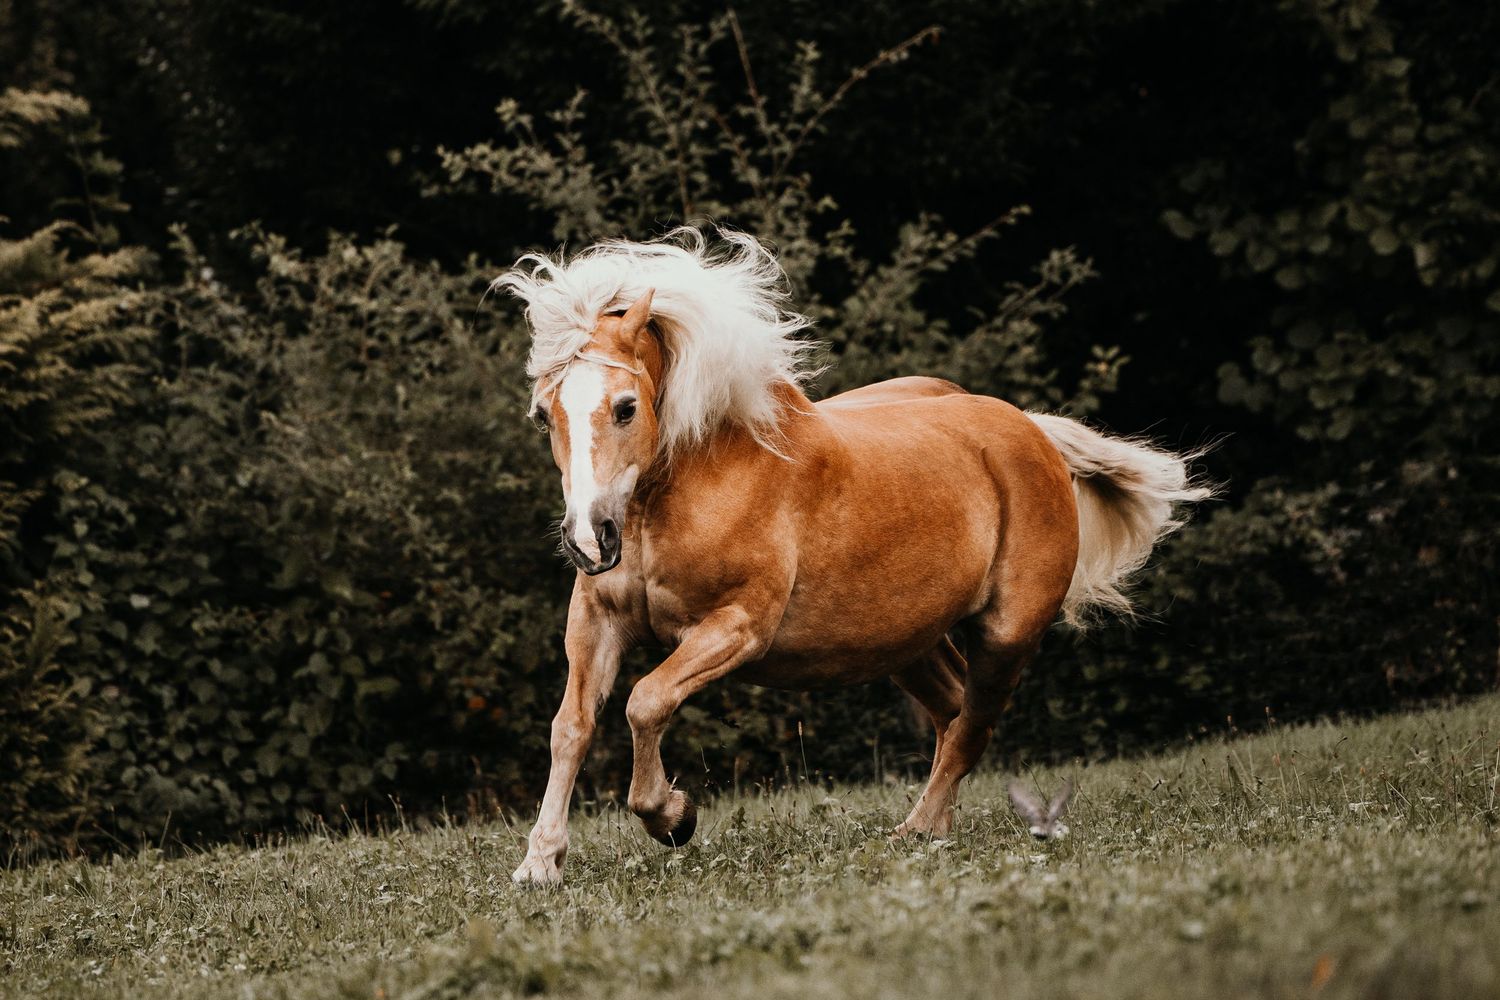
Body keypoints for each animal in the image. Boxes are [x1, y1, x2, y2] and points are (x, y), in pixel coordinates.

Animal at [497, 227, 1209, 884]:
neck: (682, 489)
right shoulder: (596, 622)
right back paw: (937, 826)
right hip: (908, 643)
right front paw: (540, 863)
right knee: (953, 712)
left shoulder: (739, 627)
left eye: (625, 407)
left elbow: (645, 702)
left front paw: (673, 817)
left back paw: (915, 829)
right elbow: (572, 726)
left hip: (1008, 633)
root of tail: (1030, 430)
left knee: (974, 723)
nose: (590, 539)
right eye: (543, 415)